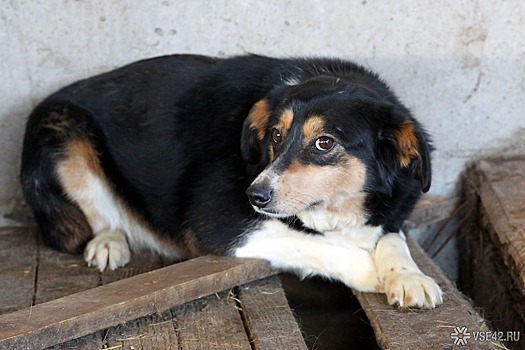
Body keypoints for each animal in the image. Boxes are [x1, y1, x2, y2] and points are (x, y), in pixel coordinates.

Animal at [20, 53, 442, 308]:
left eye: (324, 143)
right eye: (275, 135)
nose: (255, 195)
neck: (338, 211)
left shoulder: (392, 213)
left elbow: (392, 238)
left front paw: (409, 276)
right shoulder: (220, 223)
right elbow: (317, 246)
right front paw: (370, 272)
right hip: (64, 135)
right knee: (96, 214)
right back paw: (109, 242)